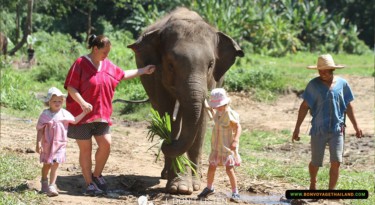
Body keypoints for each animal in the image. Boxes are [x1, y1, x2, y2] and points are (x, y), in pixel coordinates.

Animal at [127, 6, 244, 195]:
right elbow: (168, 116)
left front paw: (195, 185)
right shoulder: (157, 75)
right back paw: (166, 174)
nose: (164, 144)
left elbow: (201, 120)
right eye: (170, 65)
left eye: (211, 65)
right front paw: (179, 187)